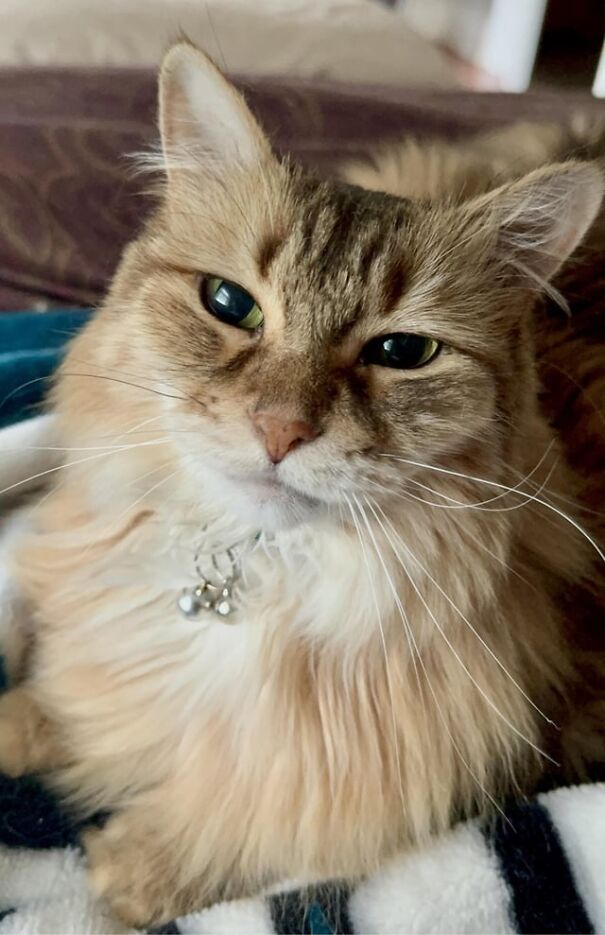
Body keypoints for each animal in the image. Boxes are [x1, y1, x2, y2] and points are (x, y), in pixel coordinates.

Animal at [1, 40, 604, 924]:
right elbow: (68, 698)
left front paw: (138, 871)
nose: (280, 429)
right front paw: (32, 720)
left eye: (402, 353)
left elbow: (266, 823)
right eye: (228, 303)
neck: (251, 571)